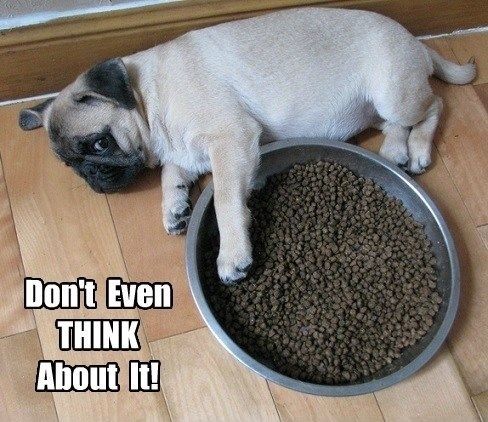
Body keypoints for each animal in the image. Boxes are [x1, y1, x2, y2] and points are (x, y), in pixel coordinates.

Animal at [20, 7, 476, 284]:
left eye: (99, 144)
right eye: (67, 163)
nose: (92, 177)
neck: (147, 98)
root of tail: (417, 43)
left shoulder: (230, 140)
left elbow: (225, 201)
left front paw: (232, 254)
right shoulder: (185, 150)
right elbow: (172, 175)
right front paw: (174, 206)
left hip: (393, 93)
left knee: (434, 105)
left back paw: (418, 149)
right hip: (378, 106)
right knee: (397, 123)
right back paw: (396, 150)